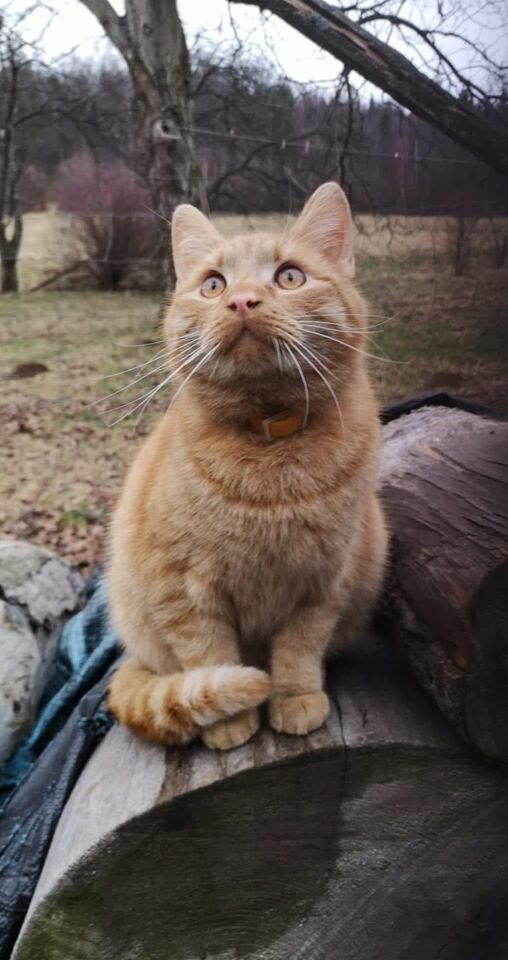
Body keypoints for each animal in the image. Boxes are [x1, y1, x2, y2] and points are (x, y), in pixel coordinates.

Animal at [107, 182, 388, 750]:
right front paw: (230, 719)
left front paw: (293, 697)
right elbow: (207, 654)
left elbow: (299, 650)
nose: (241, 300)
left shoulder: (324, 583)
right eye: (213, 285)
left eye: (290, 277)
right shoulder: (181, 589)